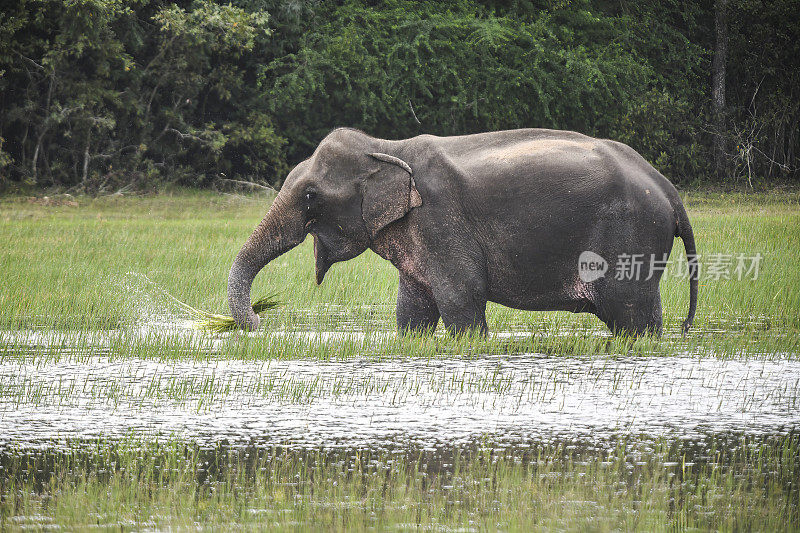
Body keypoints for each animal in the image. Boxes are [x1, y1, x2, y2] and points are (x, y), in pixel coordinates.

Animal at [228, 128, 696, 334]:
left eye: (310, 196)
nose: (260, 319)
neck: (387, 148)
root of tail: (669, 190)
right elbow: (413, 310)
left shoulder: (441, 219)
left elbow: (461, 296)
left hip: (631, 237)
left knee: (631, 315)